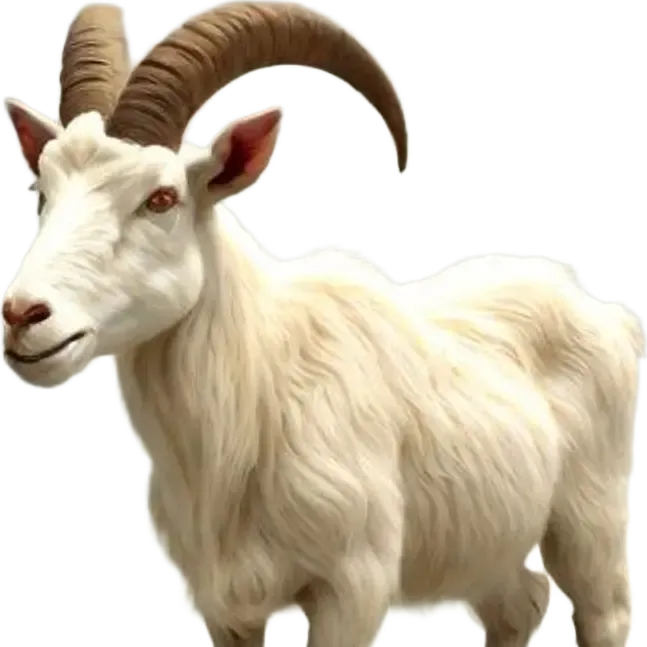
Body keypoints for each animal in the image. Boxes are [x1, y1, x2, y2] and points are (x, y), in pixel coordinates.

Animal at [3, 4, 641, 647]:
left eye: (161, 197)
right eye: (42, 187)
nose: (23, 315)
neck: (257, 397)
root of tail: (605, 311)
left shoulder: (352, 588)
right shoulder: (227, 607)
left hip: (588, 517)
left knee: (602, 612)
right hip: (487, 544)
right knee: (520, 604)